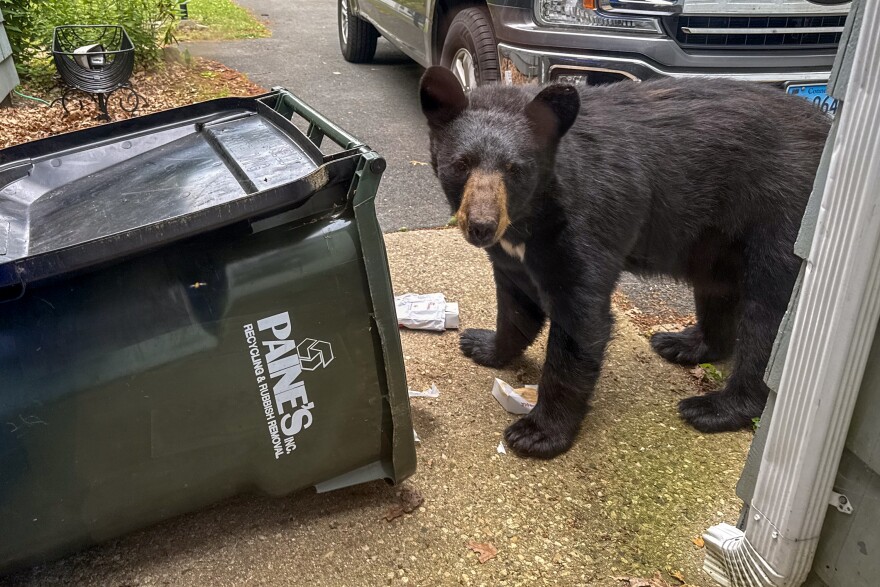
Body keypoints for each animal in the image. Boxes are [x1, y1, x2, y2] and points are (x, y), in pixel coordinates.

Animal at [419, 65, 831, 459]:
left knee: (767, 320)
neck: (530, 216)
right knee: (716, 288)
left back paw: (715, 407)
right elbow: (516, 303)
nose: (482, 226)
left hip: (781, 212)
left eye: (515, 169)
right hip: (714, 238)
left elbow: (581, 319)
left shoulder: (586, 219)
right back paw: (685, 344)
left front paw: (538, 433)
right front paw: (483, 345)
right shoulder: (514, 252)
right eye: (461, 164)